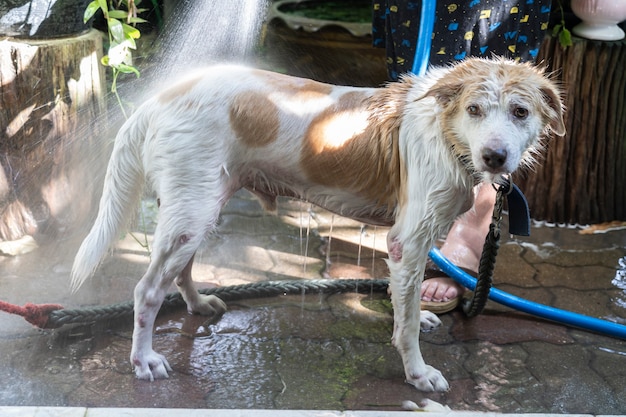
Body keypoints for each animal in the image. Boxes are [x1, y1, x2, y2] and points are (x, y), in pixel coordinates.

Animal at [70, 57, 564, 390]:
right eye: (474, 109)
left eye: (520, 112)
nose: (495, 157)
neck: (445, 131)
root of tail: (157, 98)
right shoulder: (407, 239)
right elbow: (403, 324)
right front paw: (418, 373)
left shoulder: (407, 245)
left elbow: (402, 301)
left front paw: (417, 316)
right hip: (192, 212)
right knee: (147, 290)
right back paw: (144, 360)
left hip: (198, 207)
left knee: (181, 270)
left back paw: (198, 305)